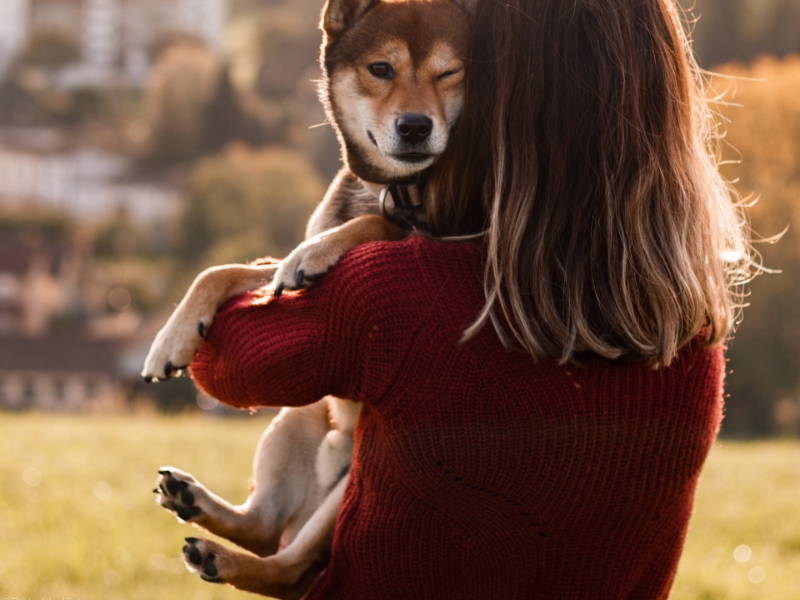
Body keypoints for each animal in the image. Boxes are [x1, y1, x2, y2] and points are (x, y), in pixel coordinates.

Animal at [141, 1, 472, 596]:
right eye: (380, 69)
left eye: (450, 73)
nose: (415, 127)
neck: (391, 186)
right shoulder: (269, 273)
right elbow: (221, 271)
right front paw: (171, 339)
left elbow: (371, 225)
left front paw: (320, 252)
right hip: (297, 420)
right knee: (266, 527)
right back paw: (194, 501)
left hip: (352, 480)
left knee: (288, 565)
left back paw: (221, 557)